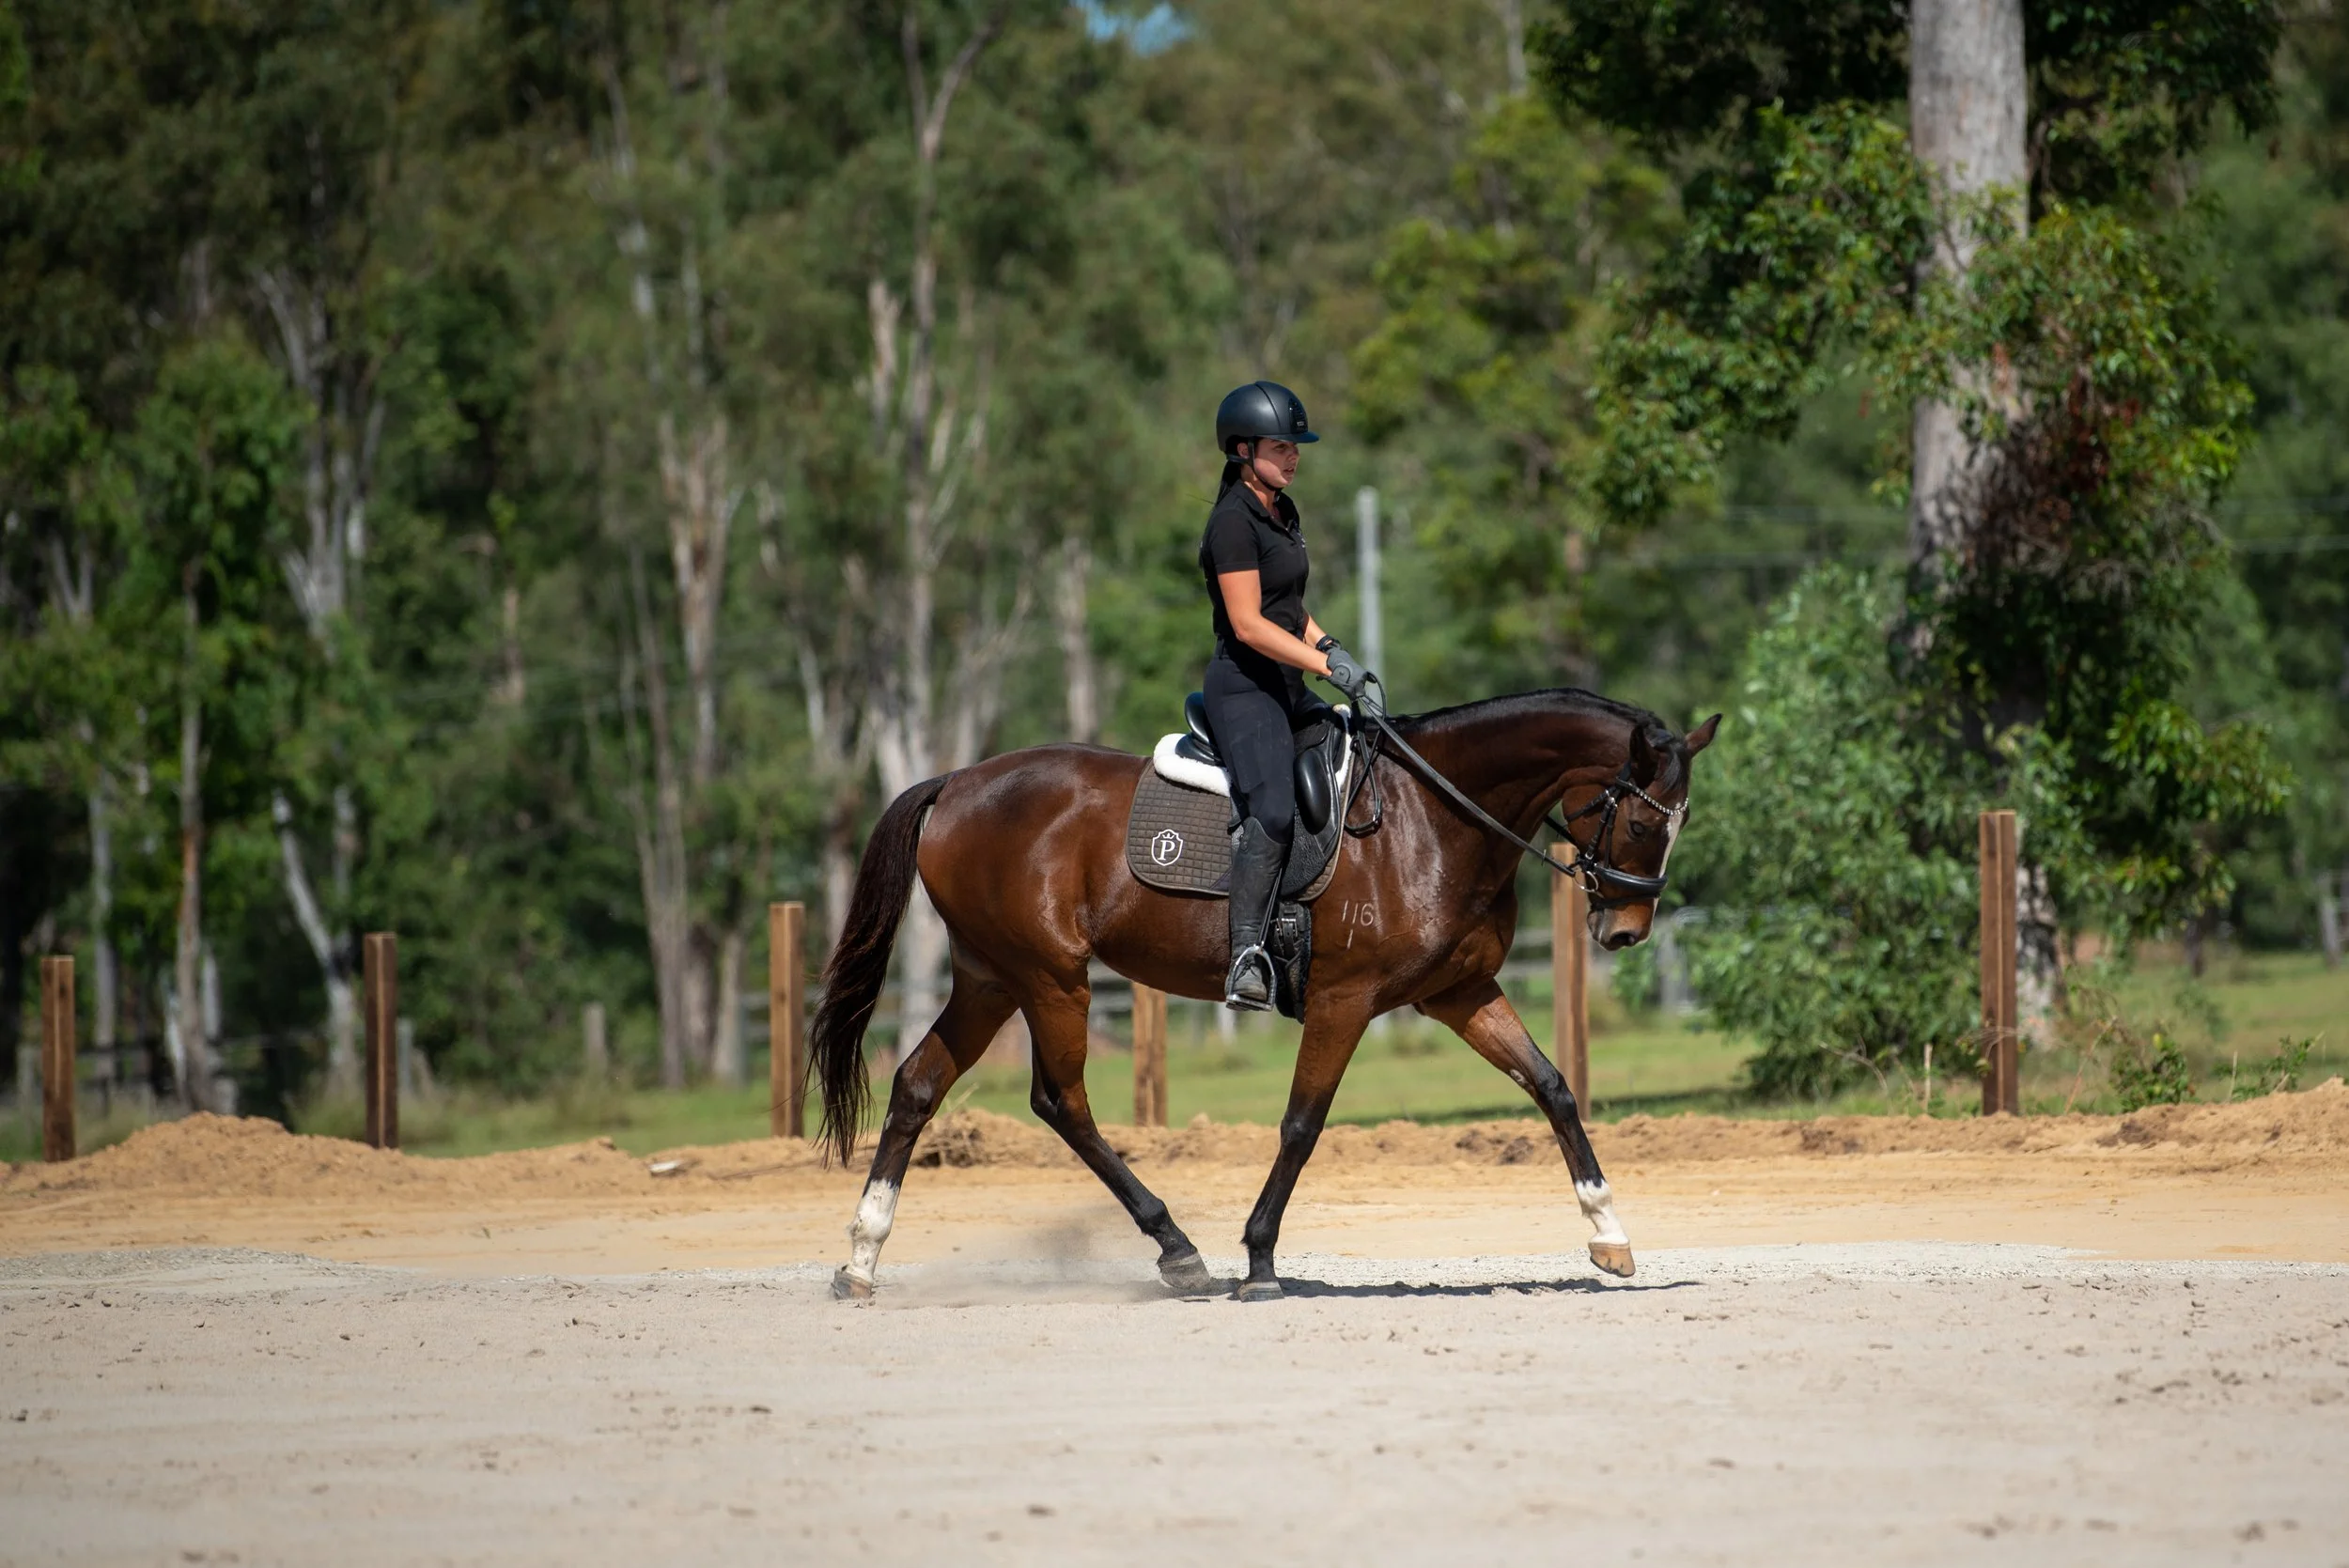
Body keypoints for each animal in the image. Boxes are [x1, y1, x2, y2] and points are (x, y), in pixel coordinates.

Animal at [809, 687, 1721, 1301]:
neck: (1433, 818)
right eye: (1645, 822)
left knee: (918, 1083)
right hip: (1048, 976)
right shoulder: (1346, 1000)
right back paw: (1178, 1249)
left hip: (990, 976)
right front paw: (1258, 1259)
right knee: (1059, 1099)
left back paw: (861, 1256)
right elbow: (1302, 1124)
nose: (1625, 932)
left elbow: (1552, 1086)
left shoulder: (1460, 990)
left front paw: (1609, 1233)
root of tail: (958, 782)